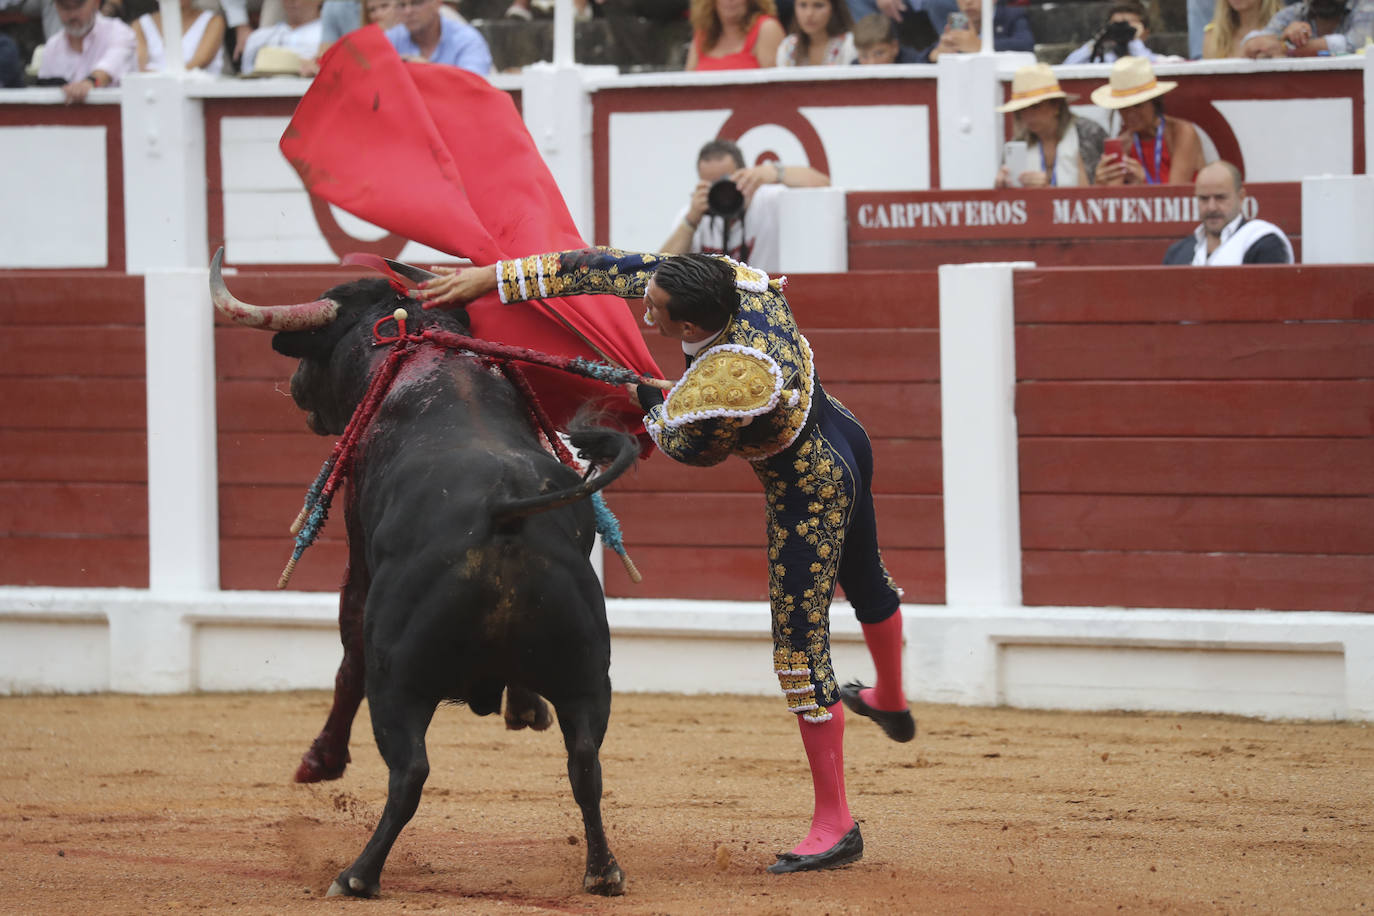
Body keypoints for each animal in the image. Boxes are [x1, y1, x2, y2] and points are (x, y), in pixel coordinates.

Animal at [211, 252, 634, 900]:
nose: (297, 386)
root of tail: (503, 510)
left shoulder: (360, 565)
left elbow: (348, 661)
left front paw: (320, 761)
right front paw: (524, 708)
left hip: (401, 682)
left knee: (408, 771)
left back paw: (357, 874)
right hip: (588, 672)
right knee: (585, 761)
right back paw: (602, 869)